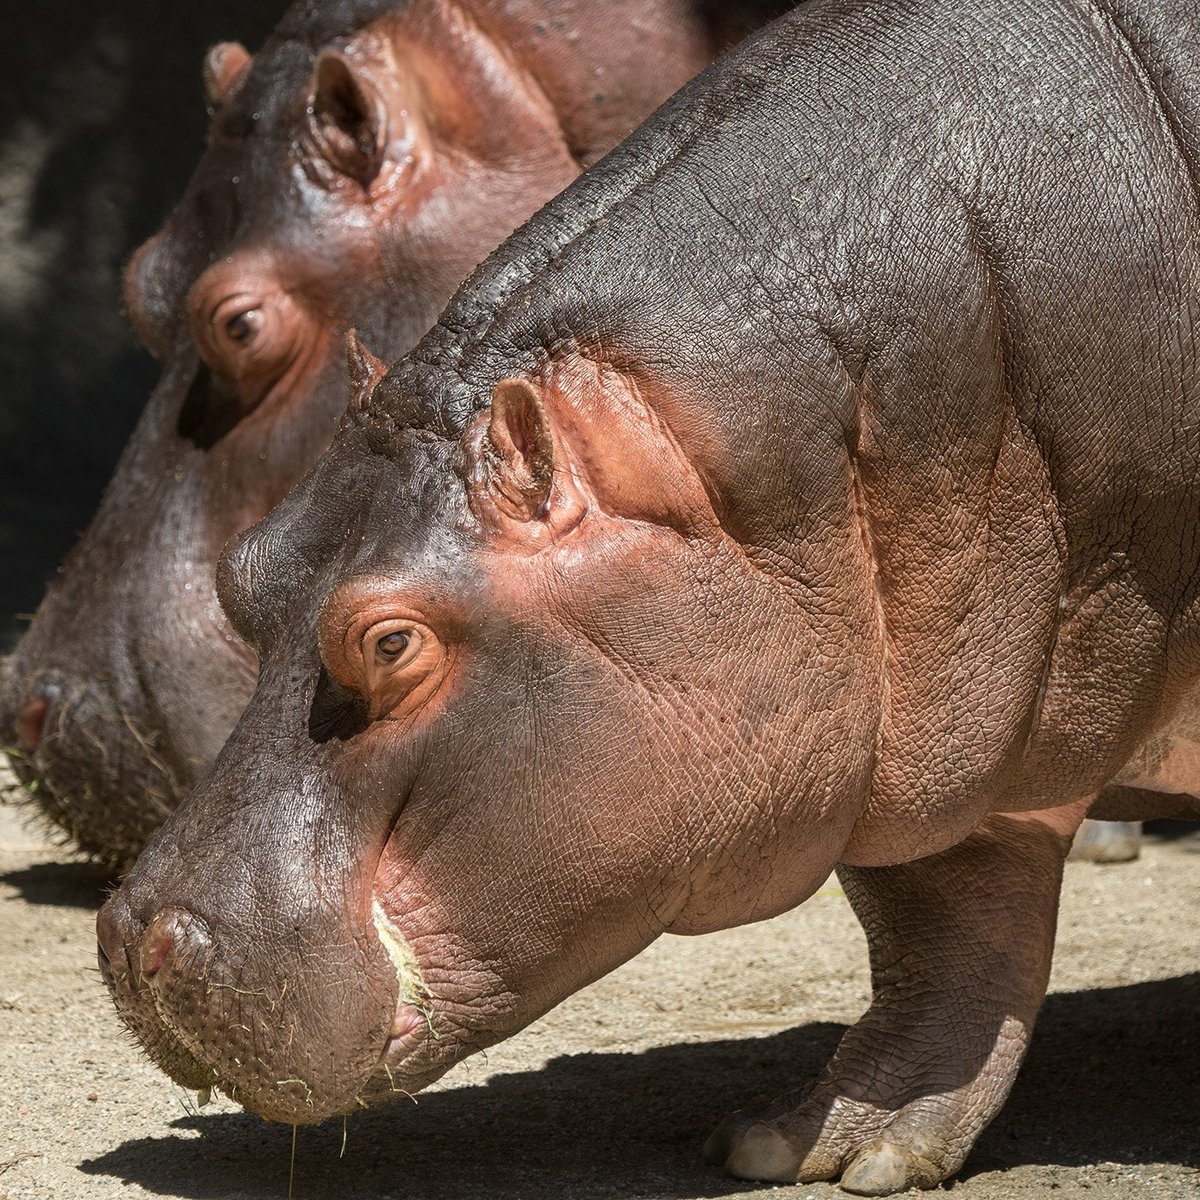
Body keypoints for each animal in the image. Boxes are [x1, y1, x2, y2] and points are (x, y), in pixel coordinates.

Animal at [98, 0, 1200, 1195]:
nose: (132, 942)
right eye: (243, 574)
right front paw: (827, 1145)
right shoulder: (950, 723)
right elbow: (948, 925)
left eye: (388, 644)